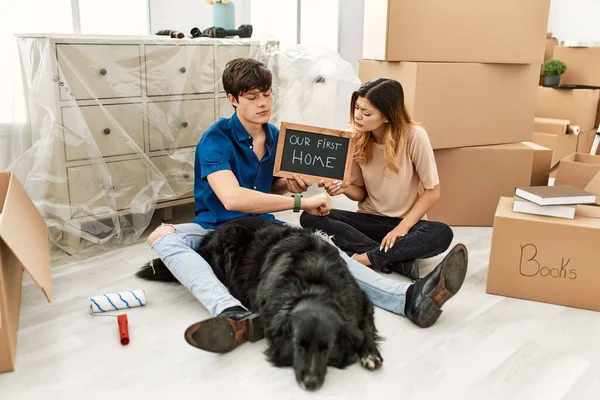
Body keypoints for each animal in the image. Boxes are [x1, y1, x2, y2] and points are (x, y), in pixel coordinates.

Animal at [136, 217, 382, 390]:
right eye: (297, 345)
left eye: (327, 347)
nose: (310, 383)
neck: (315, 285)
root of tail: (212, 233)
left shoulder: (360, 300)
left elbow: (366, 328)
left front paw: (370, 353)